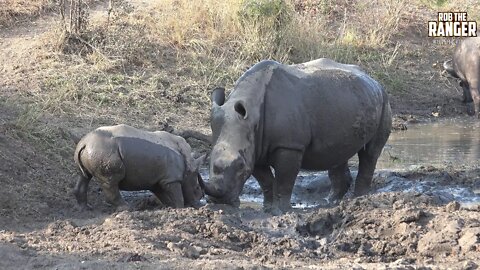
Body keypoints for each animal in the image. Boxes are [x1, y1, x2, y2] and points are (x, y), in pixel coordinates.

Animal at [73, 124, 204, 211]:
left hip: (93, 150)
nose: (199, 204)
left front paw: (170, 207)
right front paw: (180, 209)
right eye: (197, 188)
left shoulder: (157, 180)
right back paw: (128, 208)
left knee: (84, 176)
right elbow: (178, 197)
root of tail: (85, 143)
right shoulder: (171, 179)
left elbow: (163, 195)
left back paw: (84, 209)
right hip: (105, 150)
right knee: (111, 181)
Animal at [204, 58, 392, 214]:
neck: (251, 113)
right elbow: (265, 180)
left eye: (240, 166)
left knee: (370, 153)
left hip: (383, 100)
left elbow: (284, 179)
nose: (218, 201)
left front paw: (281, 211)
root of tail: (373, 79)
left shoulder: (289, 145)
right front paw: (268, 208)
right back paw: (331, 202)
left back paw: (359, 199)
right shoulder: (254, 148)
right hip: (346, 101)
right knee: (338, 154)